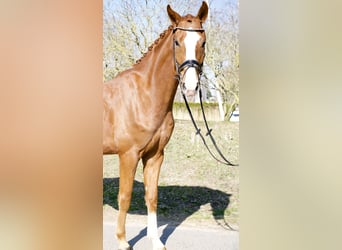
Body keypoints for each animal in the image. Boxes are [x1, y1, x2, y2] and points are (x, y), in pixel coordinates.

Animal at [102, 2, 208, 250]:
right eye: (177, 41)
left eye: (203, 42)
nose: (190, 87)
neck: (145, 95)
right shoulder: (128, 155)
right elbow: (125, 196)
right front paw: (122, 241)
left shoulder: (155, 155)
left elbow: (152, 196)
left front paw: (156, 241)